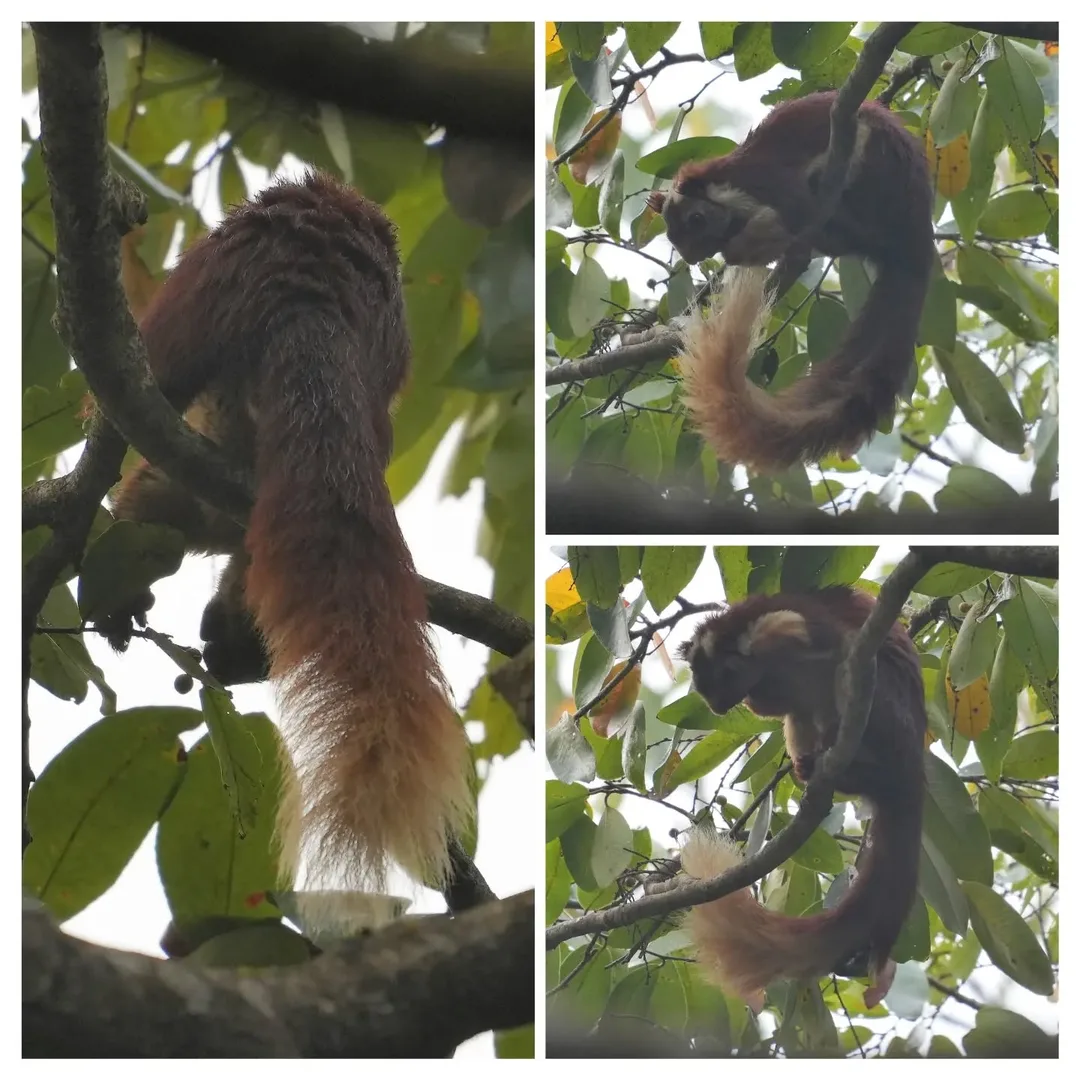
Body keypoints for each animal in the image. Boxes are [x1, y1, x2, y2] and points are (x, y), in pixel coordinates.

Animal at [648, 90, 935, 472]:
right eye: (673, 238)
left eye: (696, 220)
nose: (693, 255)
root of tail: (917, 242)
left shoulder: (770, 182)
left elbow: (792, 215)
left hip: (875, 166)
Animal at [676, 586, 926, 1010]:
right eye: (705, 692)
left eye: (723, 678)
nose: (719, 708)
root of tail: (912, 769)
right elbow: (780, 703)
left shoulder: (786, 625)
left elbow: (823, 640)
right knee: (802, 713)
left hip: (889, 715)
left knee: (850, 672)